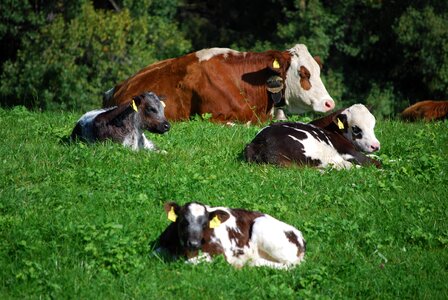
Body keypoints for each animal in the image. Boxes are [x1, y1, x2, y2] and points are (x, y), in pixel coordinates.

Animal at [156, 202, 306, 270]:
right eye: (183, 221)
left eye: (205, 224)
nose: (194, 243)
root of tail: (301, 237)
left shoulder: (219, 253)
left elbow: (192, 262)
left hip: (261, 226)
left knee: (290, 265)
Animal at [245, 103, 382, 169]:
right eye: (356, 128)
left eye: (373, 124)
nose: (375, 146)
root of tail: (258, 143)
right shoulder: (349, 152)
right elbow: (374, 162)